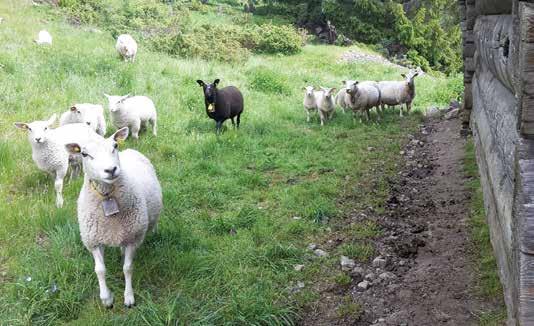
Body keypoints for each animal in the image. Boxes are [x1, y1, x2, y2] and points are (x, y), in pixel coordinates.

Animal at [64, 127, 162, 308]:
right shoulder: (93, 240)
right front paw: (106, 298)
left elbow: (127, 268)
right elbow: (100, 270)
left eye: (115, 146)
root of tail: (129, 150)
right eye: (84, 154)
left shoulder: (133, 238)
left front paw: (129, 297)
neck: (107, 195)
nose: (110, 170)